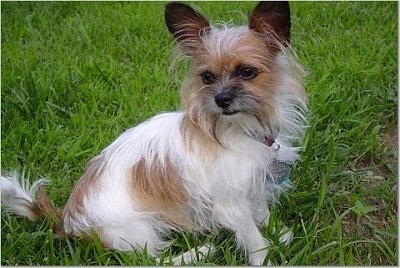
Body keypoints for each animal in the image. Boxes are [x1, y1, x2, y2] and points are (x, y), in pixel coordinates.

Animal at [0, 1, 308, 266]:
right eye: (207, 77)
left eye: (247, 72)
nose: (221, 99)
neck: (240, 130)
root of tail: (68, 221)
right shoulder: (230, 204)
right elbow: (254, 239)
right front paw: (266, 258)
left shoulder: (255, 184)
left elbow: (262, 212)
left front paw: (280, 234)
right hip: (138, 229)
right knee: (153, 259)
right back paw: (200, 252)